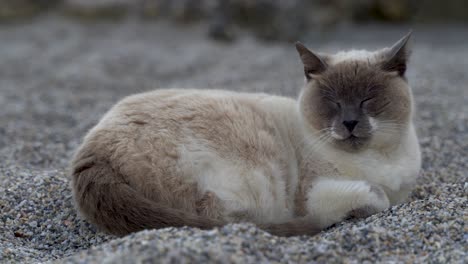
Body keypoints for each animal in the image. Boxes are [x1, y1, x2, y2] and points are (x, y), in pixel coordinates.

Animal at [72, 32, 420, 236]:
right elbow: (377, 197)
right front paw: (366, 200)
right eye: (332, 101)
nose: (349, 123)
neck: (378, 159)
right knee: (236, 221)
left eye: (368, 99)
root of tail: (91, 152)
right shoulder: (314, 191)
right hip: (258, 179)